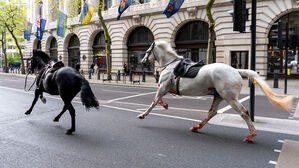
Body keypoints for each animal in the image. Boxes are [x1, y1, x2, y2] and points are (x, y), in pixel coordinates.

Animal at [138, 40, 296, 142]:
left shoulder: (163, 87)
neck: (171, 65)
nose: (142, 62)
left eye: (147, 51)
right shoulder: (166, 88)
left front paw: (143, 114)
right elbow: (158, 99)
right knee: (212, 112)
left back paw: (251, 135)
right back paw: (197, 126)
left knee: (243, 112)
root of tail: (236, 71)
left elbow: (154, 101)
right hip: (219, 96)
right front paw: (165, 105)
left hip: (229, 97)